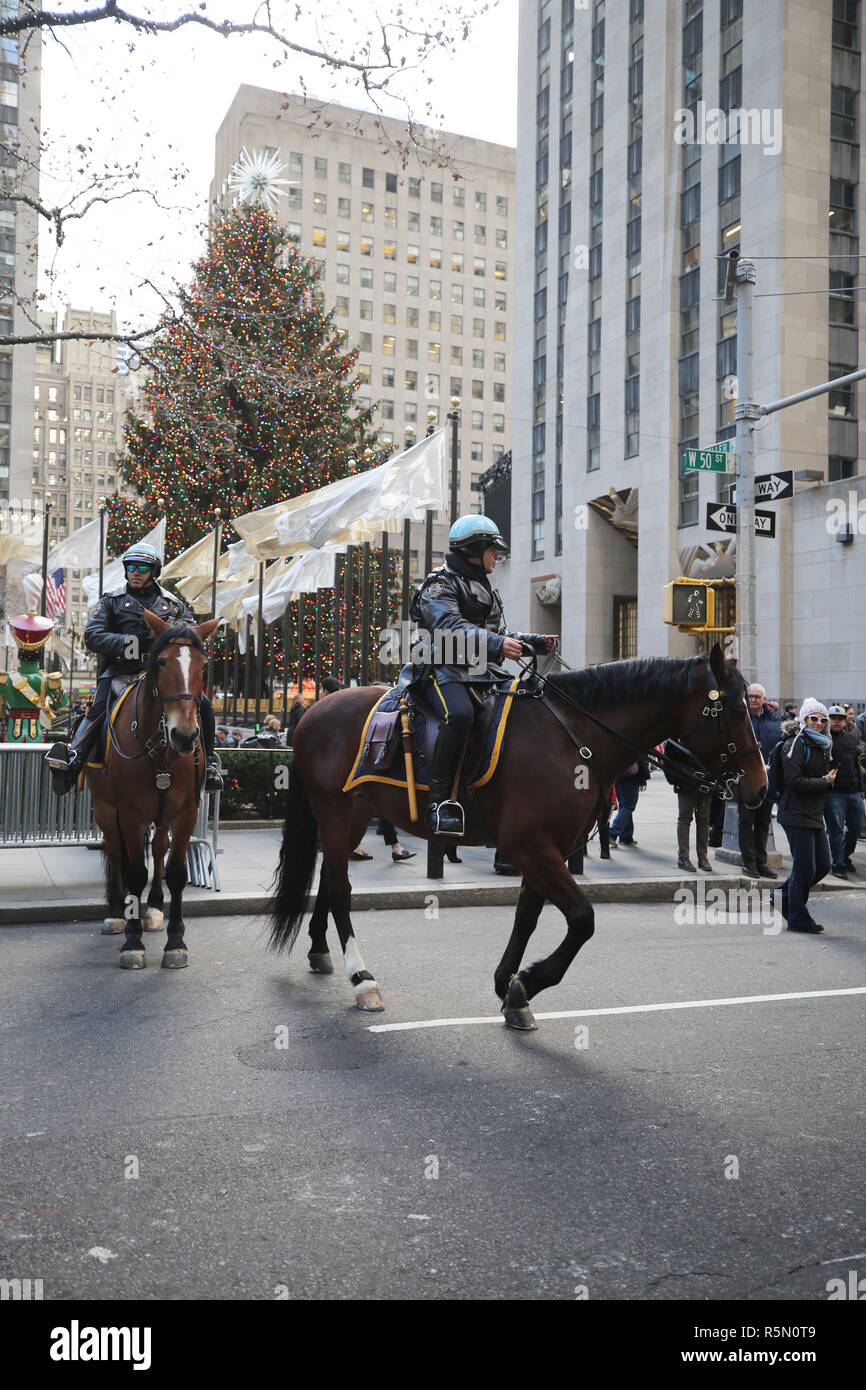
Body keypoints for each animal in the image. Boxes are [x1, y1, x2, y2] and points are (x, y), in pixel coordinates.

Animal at [86, 614, 219, 973]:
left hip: (160, 813)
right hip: (105, 808)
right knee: (116, 851)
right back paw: (116, 912)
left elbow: (176, 873)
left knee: (158, 850)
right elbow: (134, 871)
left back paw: (156, 909)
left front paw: (176, 942)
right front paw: (132, 943)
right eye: (161, 662)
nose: (185, 736)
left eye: (203, 666)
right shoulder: (129, 813)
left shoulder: (186, 812)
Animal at [268, 644, 767, 1028]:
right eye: (736, 709)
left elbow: (527, 917)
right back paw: (362, 979)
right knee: (342, 887)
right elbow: (583, 919)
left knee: (330, 879)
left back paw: (319, 950)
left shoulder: (548, 848)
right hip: (333, 808)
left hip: (356, 809)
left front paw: (510, 985)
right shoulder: (529, 847)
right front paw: (528, 981)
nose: (760, 789)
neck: (572, 738)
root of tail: (314, 710)